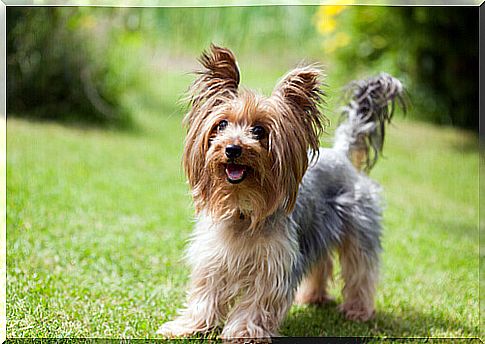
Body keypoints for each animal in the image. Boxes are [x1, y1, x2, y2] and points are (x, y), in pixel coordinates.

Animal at [156, 43, 404, 342]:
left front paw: (243, 332)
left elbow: (258, 301)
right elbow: (205, 293)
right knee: (321, 262)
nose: (232, 148)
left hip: (358, 225)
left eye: (259, 130)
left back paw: (358, 310)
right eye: (221, 125)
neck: (243, 207)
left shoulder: (273, 263)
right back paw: (313, 297)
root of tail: (342, 154)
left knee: (360, 269)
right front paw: (188, 326)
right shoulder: (213, 257)